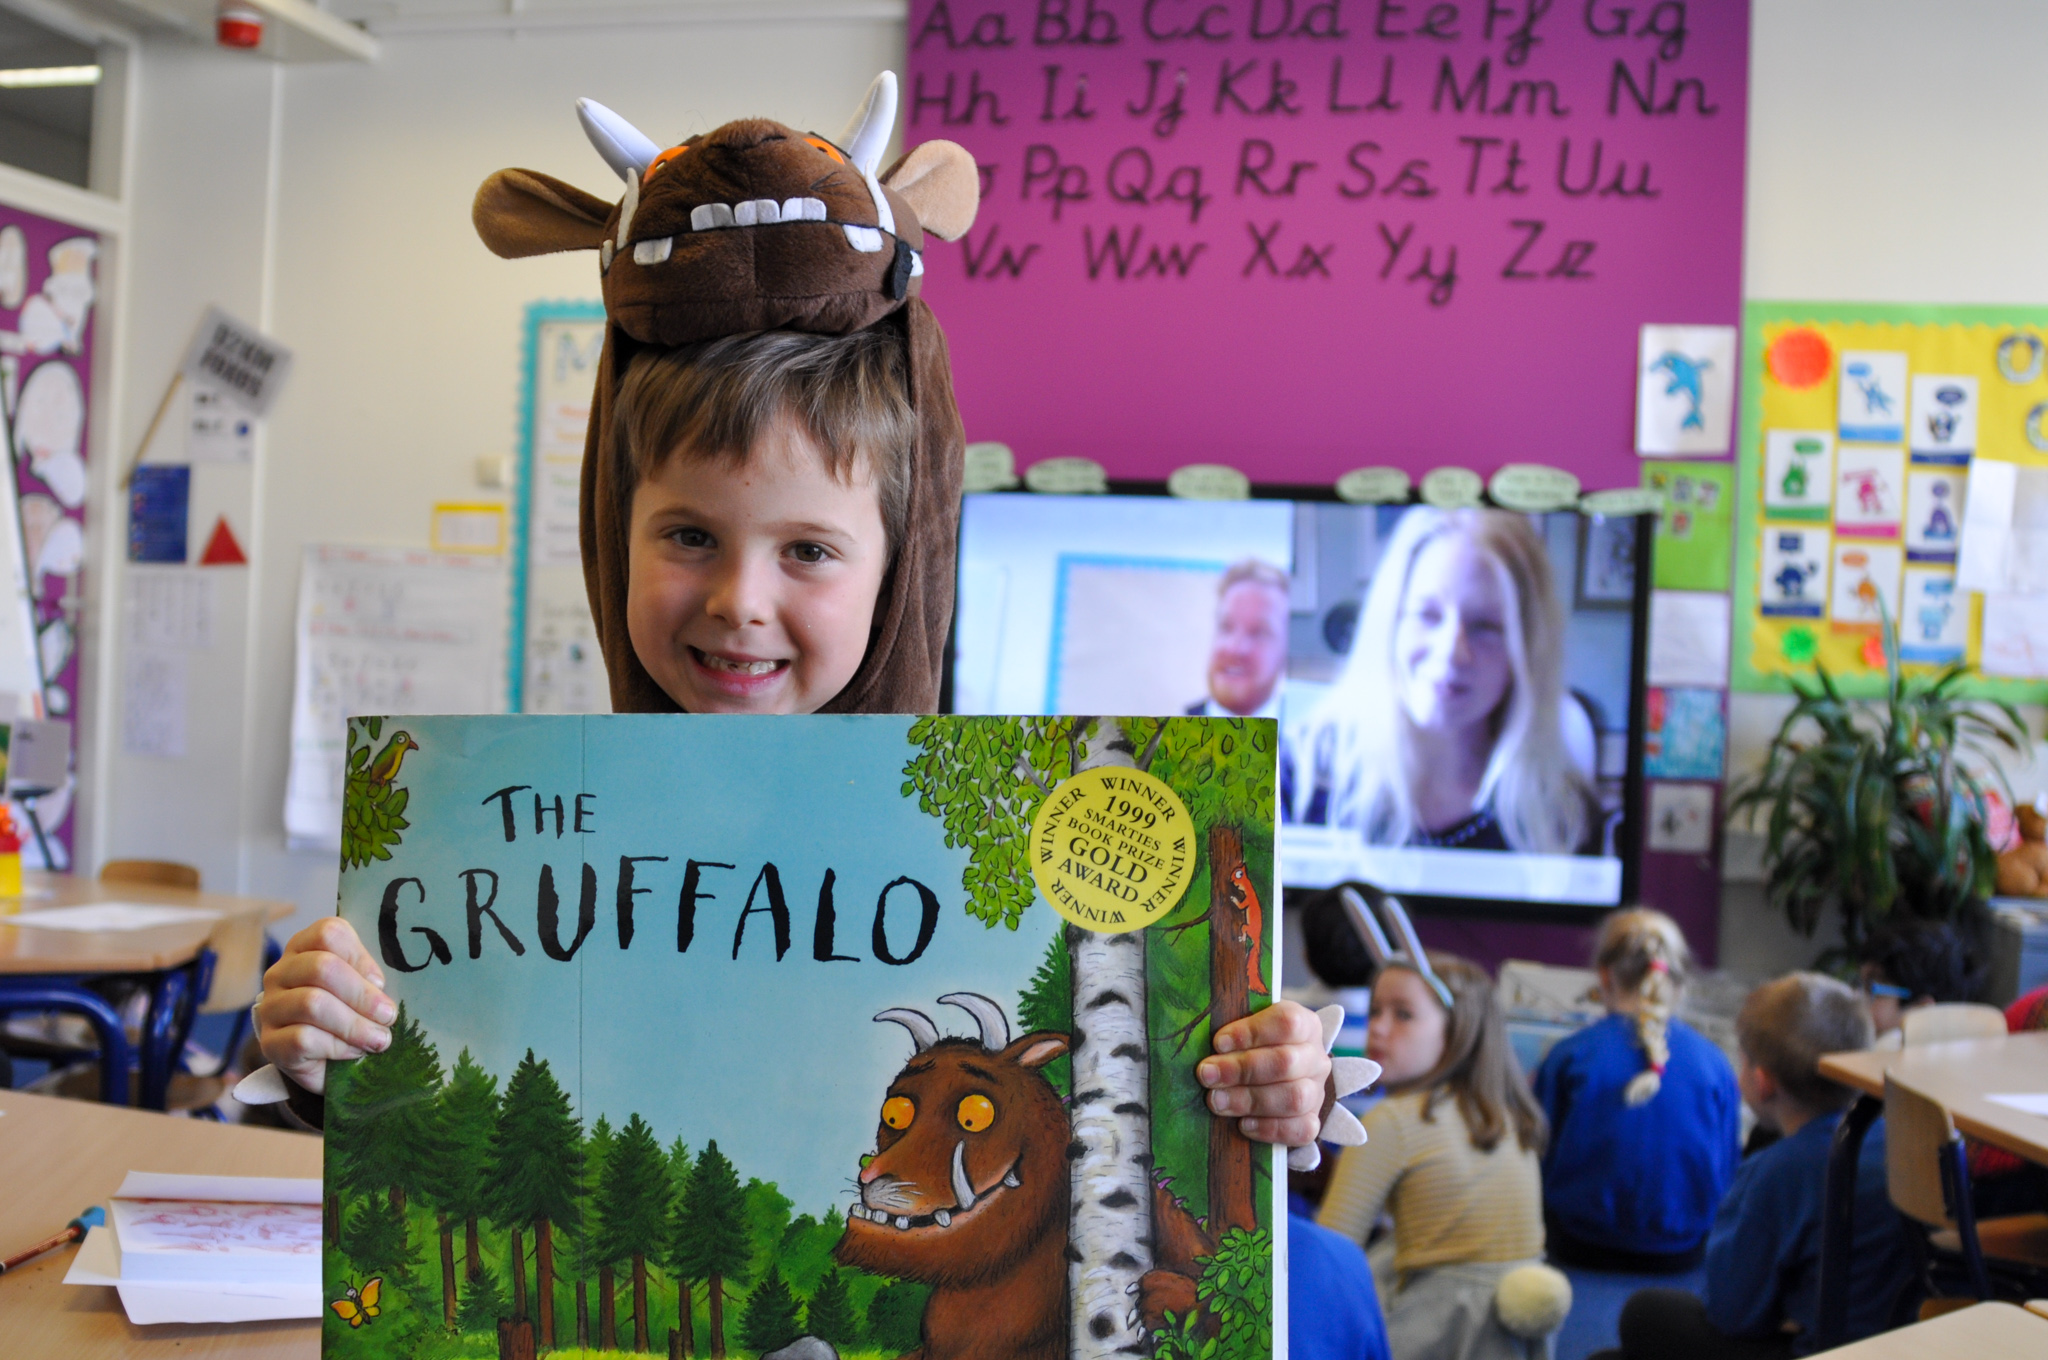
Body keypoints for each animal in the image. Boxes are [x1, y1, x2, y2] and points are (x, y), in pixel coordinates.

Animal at [1228, 864, 1261, 995]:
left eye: (1237, 874)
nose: (1230, 880)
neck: (1249, 886)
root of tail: (1257, 940)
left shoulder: (1247, 899)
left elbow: (1241, 906)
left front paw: (1233, 899)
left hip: (1246, 926)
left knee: (1244, 930)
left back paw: (1242, 938)